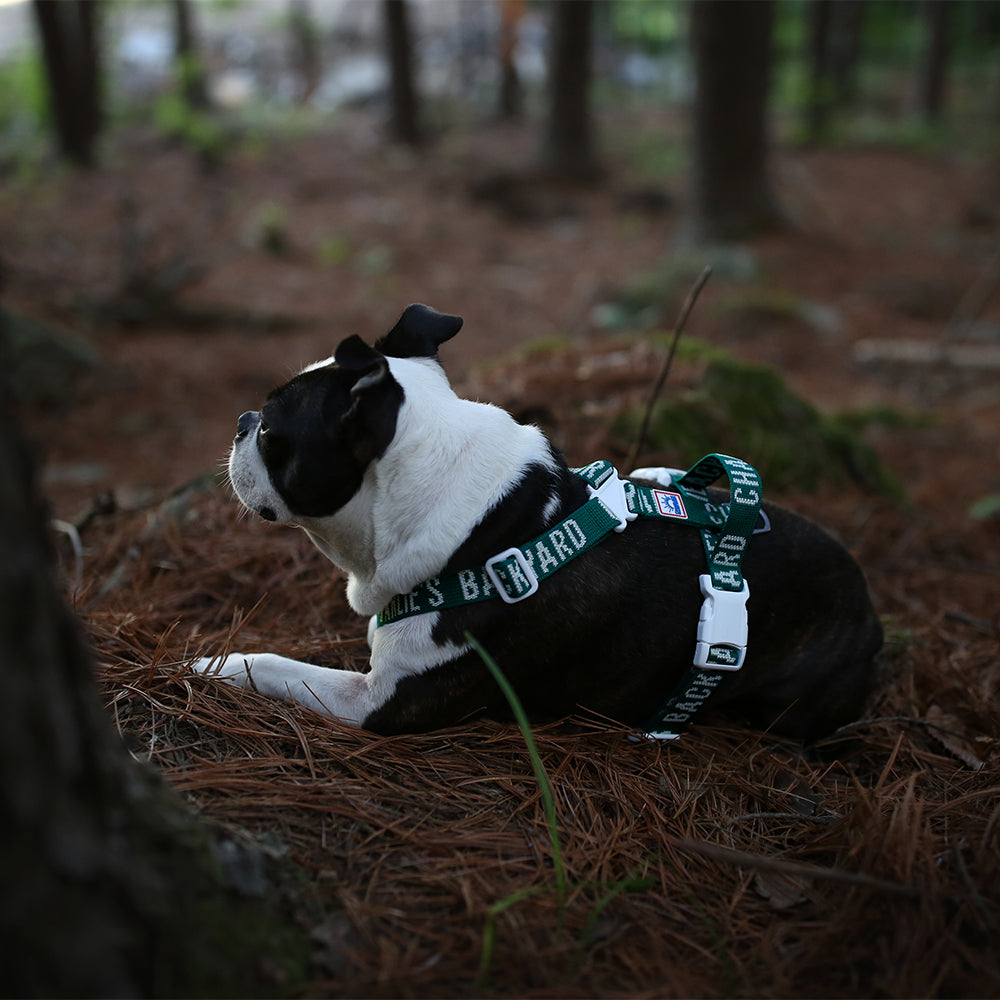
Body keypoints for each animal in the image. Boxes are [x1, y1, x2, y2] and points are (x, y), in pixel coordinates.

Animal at [189, 300, 884, 740]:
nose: (242, 421)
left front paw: (213, 665)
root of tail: (871, 608)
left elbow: (278, 666)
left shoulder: (378, 703)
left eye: (273, 432)